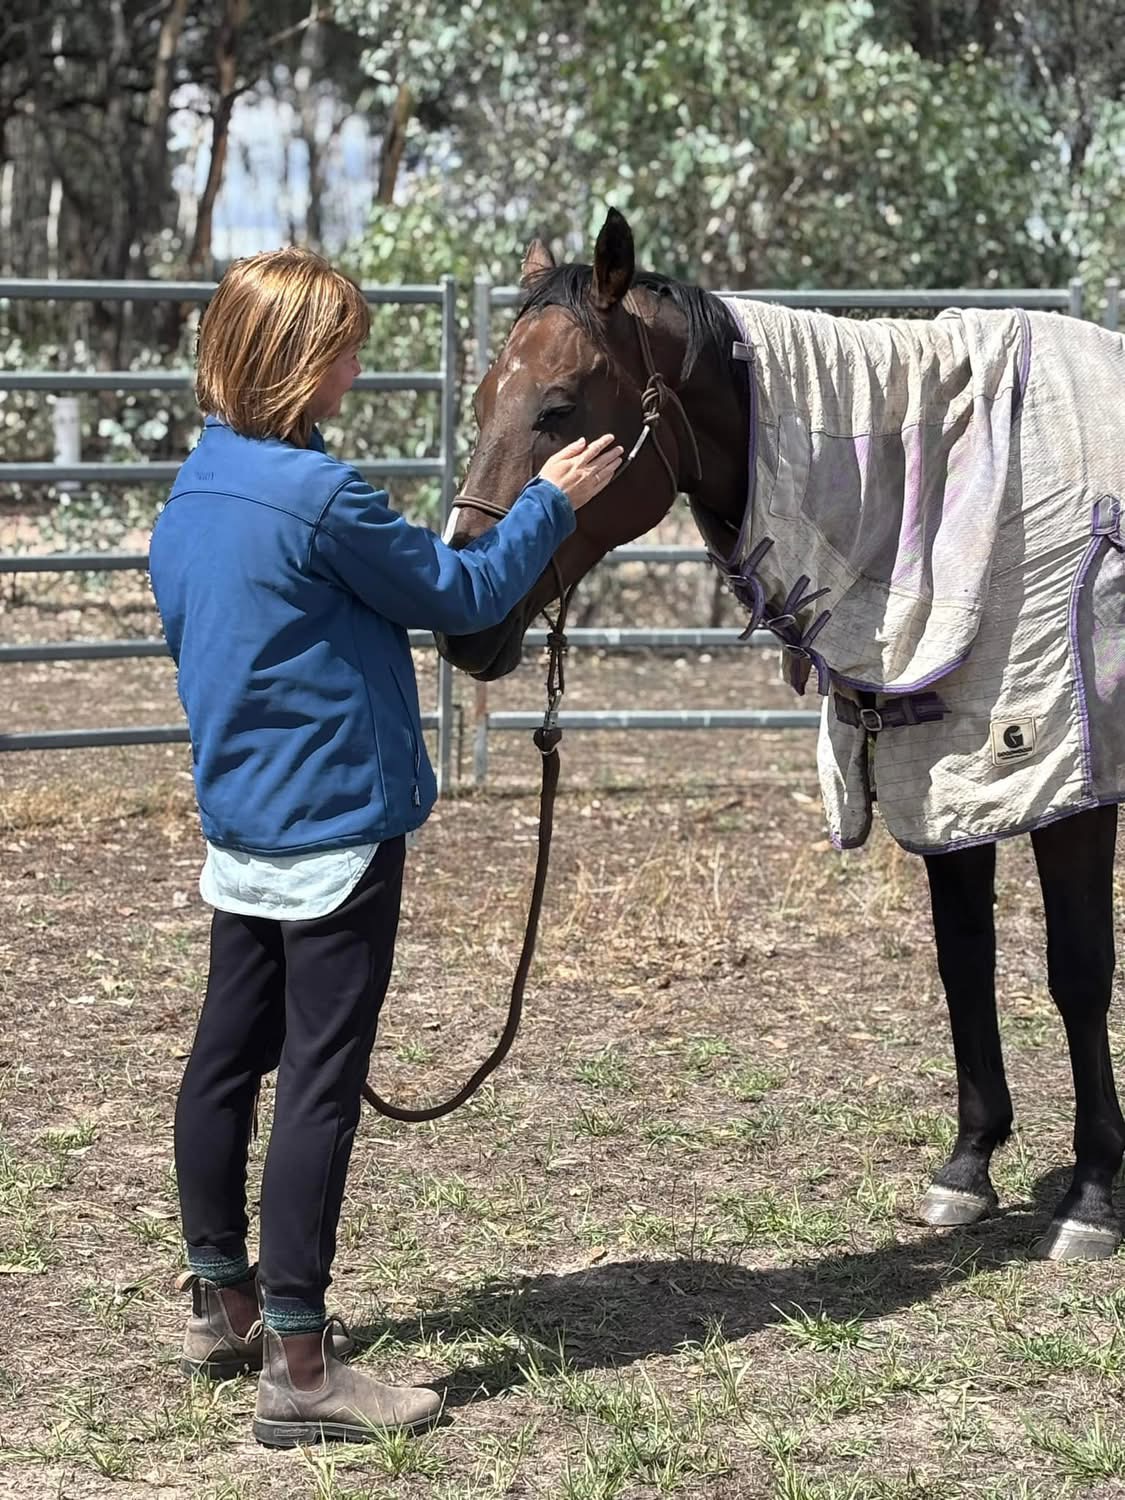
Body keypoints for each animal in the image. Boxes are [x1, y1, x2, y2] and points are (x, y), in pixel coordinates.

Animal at [435, 208, 1124, 1262]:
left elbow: (1079, 974)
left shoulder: (1066, 783)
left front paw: (1090, 1195)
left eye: (557, 407)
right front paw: (968, 1166)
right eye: (480, 403)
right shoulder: (939, 782)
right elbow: (963, 960)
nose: (463, 624)